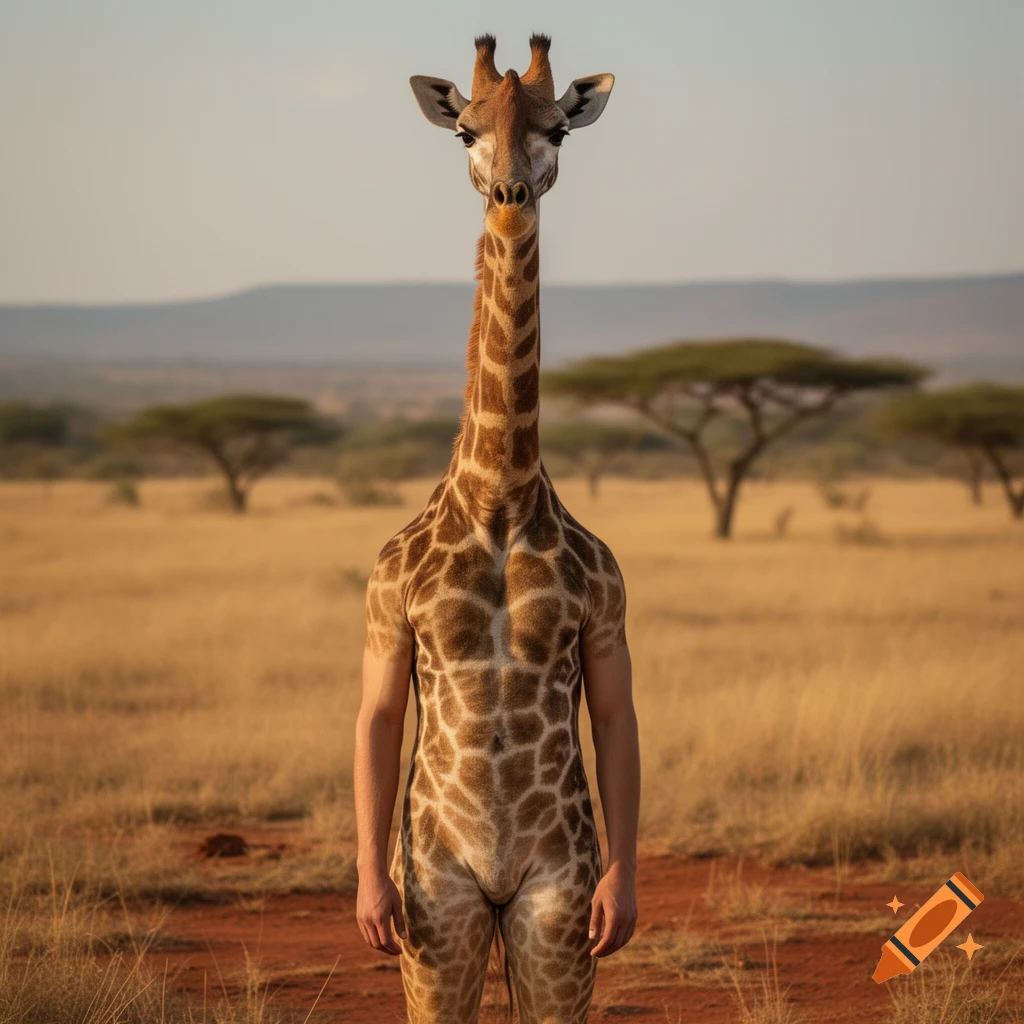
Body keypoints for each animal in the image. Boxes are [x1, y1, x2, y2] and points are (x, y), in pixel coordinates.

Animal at [355, 34, 638, 1024]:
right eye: (465, 132)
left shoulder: (611, 604)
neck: (501, 501)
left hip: (547, 919)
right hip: (441, 920)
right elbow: (378, 709)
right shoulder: (382, 598)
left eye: (558, 129)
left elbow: (615, 711)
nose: (511, 195)